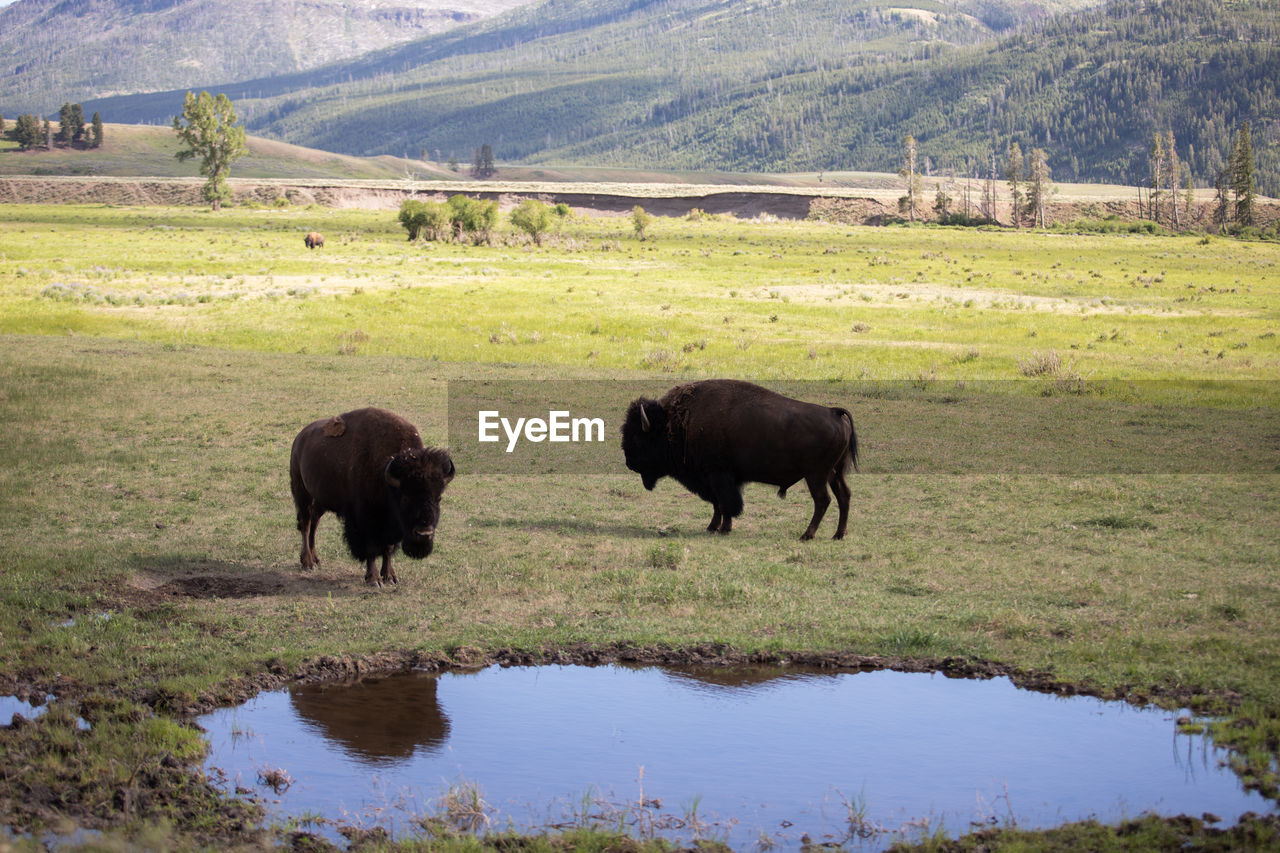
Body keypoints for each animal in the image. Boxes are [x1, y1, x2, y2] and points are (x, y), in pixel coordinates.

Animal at [290, 407, 455, 584]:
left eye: (438, 498)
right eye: (405, 498)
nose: (424, 534)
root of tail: (299, 438)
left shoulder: (389, 525)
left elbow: (388, 548)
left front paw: (390, 576)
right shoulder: (365, 520)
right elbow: (371, 548)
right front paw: (374, 579)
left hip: (321, 499)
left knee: (314, 522)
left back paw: (315, 559)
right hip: (302, 492)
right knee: (305, 523)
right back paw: (307, 563)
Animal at [622, 379, 860, 537]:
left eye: (638, 437)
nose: (629, 463)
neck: (675, 421)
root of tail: (833, 413)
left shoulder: (718, 477)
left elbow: (725, 503)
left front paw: (722, 529)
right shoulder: (717, 480)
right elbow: (718, 504)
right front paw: (713, 527)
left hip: (816, 475)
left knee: (823, 500)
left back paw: (807, 535)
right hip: (835, 473)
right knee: (844, 496)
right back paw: (838, 534)